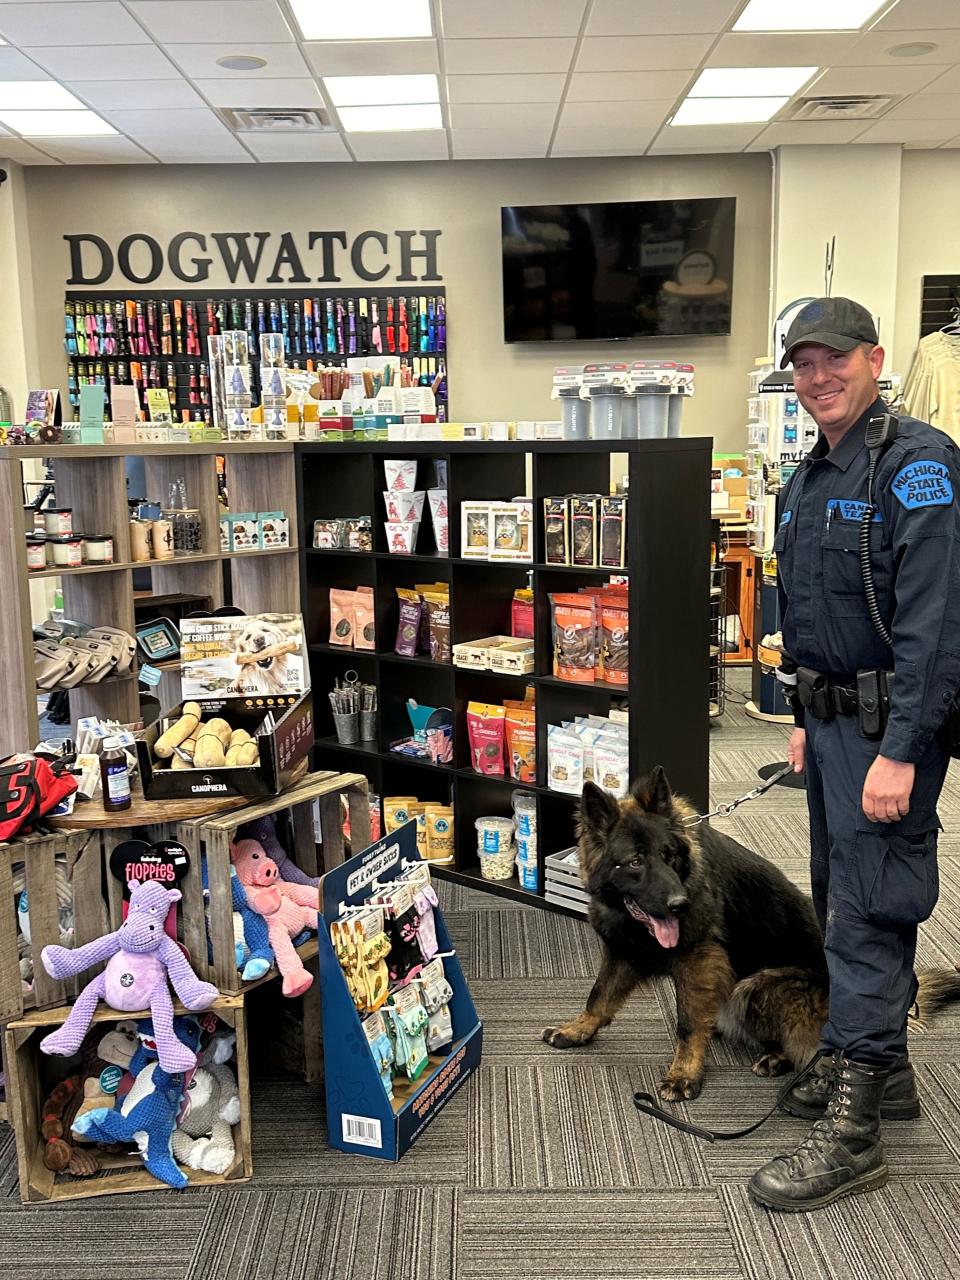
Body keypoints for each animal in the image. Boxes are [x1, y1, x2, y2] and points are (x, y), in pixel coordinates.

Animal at [547, 762, 960, 1105]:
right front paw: (578, 1029)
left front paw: (684, 1074)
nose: (680, 904)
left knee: (810, 1048)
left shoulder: (698, 959)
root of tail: (905, 1006)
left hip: (756, 987)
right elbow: (599, 996)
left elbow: (686, 1024)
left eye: (669, 856)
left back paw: (778, 1058)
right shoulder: (623, 950)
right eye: (635, 862)